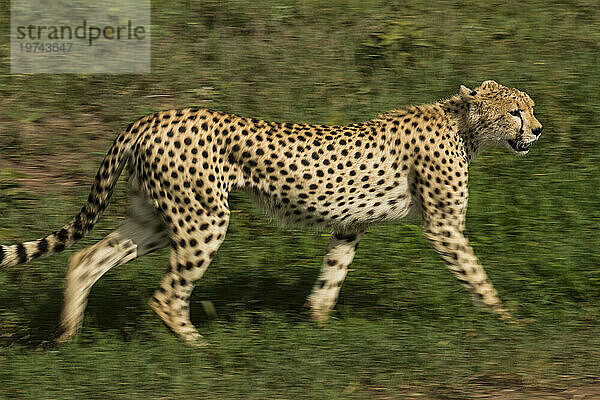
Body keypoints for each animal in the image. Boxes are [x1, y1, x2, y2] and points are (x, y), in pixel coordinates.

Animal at [1, 80, 544, 344]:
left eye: (530, 107)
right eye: (516, 111)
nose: (538, 130)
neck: (462, 126)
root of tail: (153, 115)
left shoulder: (350, 225)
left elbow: (330, 277)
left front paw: (316, 329)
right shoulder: (444, 227)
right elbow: (477, 275)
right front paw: (512, 323)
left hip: (155, 217)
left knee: (85, 259)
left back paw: (67, 338)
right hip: (203, 219)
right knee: (166, 295)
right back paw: (202, 351)